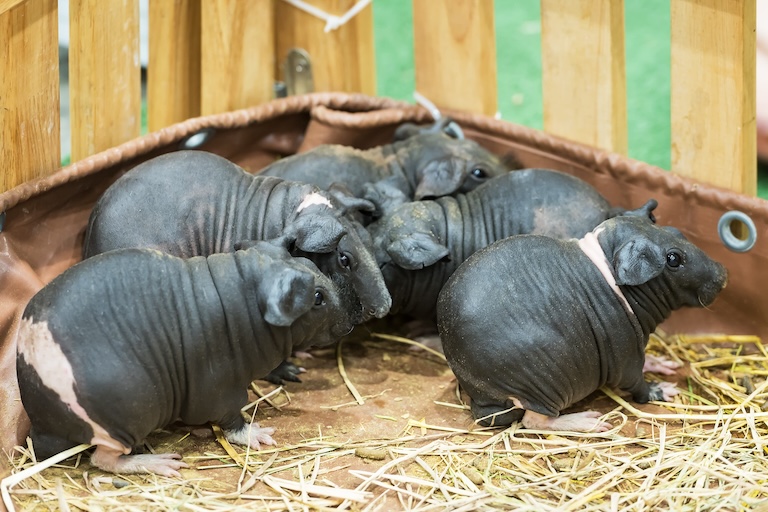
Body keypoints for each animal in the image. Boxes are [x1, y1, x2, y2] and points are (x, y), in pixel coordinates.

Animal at [17, 241, 356, 476]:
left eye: (306, 261)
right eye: (317, 298)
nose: (353, 319)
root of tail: (42, 423)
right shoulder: (223, 390)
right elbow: (234, 423)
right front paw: (260, 435)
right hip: (127, 421)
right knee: (105, 460)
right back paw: (160, 463)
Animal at [437, 204, 728, 431]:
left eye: (677, 233)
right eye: (673, 259)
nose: (722, 274)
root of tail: (482, 399)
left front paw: (664, 364)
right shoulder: (626, 357)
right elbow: (639, 386)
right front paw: (664, 389)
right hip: (549, 384)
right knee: (535, 422)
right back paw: (590, 421)